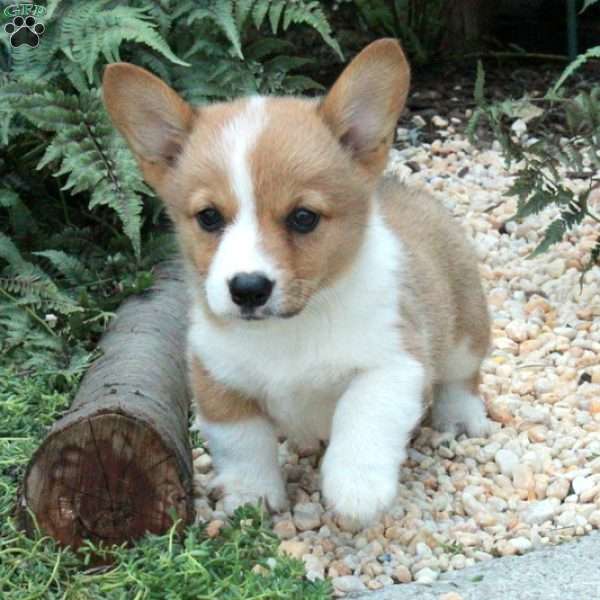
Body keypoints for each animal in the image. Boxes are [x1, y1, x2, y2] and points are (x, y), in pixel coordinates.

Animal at [102, 39, 488, 524]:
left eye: (303, 217)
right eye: (209, 217)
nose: (248, 288)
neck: (288, 330)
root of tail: (404, 190)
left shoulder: (394, 363)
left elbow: (363, 415)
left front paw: (356, 489)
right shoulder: (217, 378)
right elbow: (242, 444)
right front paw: (252, 497)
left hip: (464, 334)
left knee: (462, 377)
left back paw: (459, 417)